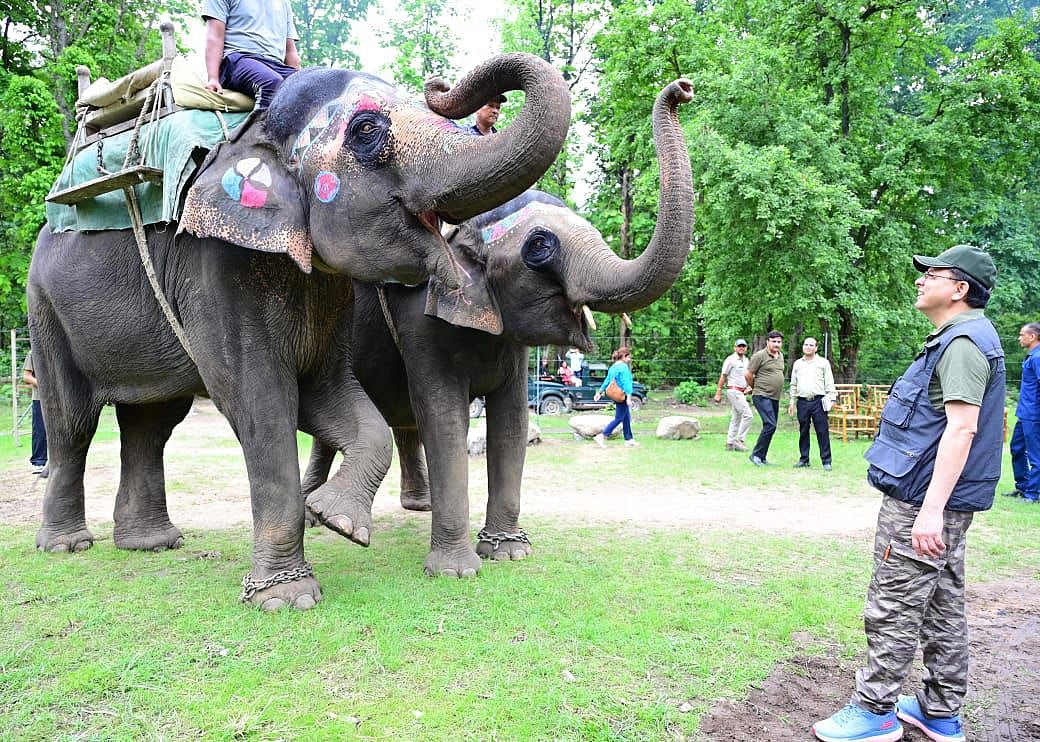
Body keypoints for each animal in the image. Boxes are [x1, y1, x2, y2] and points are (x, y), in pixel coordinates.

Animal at [27, 53, 570, 610]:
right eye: (366, 130)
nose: (441, 87)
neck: (253, 133)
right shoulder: (213, 266)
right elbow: (261, 400)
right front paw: (290, 597)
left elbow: (332, 398)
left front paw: (338, 520)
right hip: (44, 309)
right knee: (73, 422)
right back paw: (67, 545)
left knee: (150, 424)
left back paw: (150, 543)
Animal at [302, 79, 695, 578]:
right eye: (540, 246)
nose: (683, 89)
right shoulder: (420, 318)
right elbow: (444, 417)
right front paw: (455, 571)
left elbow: (512, 422)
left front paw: (509, 552)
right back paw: (319, 519)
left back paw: (412, 506)